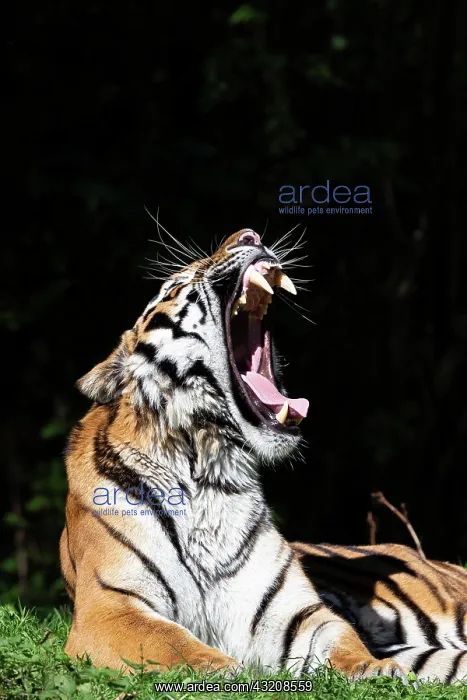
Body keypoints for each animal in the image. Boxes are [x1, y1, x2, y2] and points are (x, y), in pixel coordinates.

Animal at [60, 228, 467, 684]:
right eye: (175, 283)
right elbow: (174, 643)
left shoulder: (290, 610)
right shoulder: (108, 607)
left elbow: (338, 637)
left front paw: (372, 668)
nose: (248, 235)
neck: (210, 470)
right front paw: (226, 671)